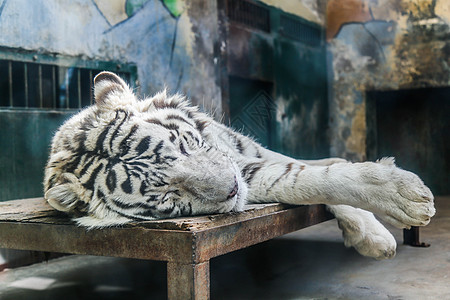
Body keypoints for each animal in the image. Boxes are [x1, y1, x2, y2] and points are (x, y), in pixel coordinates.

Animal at [44, 71, 434, 258]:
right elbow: (304, 178)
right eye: (169, 195)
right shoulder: (251, 172)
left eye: (184, 144)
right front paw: (399, 203)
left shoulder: (249, 152)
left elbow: (319, 164)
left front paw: (381, 221)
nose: (232, 187)